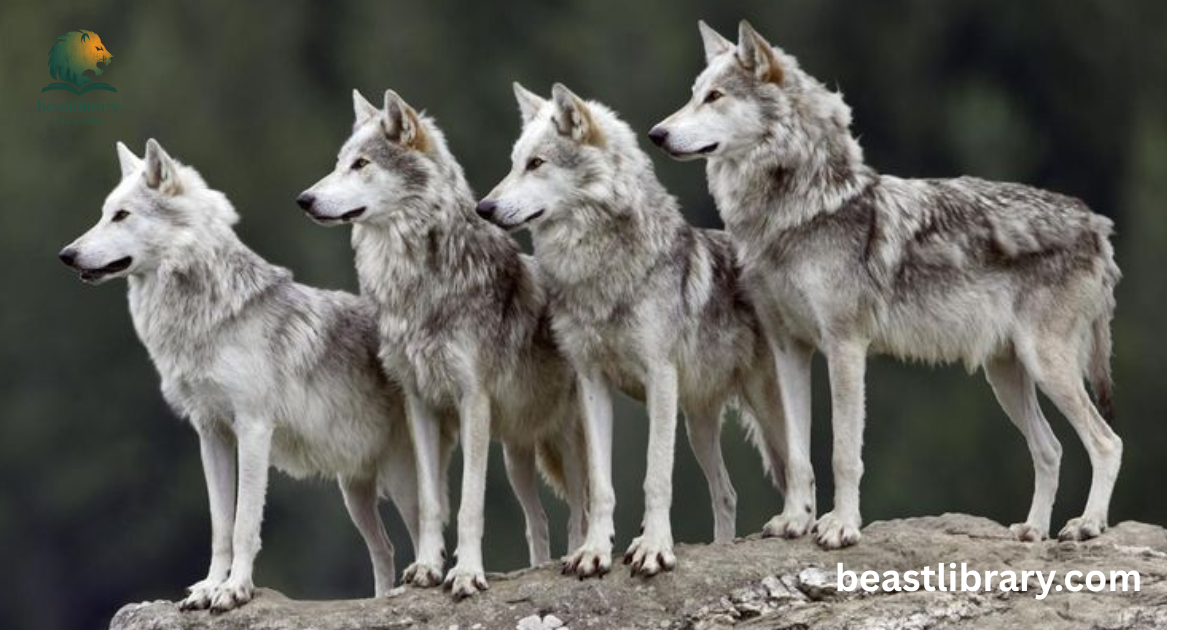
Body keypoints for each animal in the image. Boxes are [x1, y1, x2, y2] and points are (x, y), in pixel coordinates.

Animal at [58, 140, 425, 612]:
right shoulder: (211, 434)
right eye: (104, 213)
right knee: (386, 549)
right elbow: (220, 526)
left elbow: (244, 523)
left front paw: (234, 590)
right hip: (355, 492)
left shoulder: (253, 429)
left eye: (121, 215)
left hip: (400, 481)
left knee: (425, 535)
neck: (205, 319)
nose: (67, 255)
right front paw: (208, 587)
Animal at [297, 90, 589, 599]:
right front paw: (427, 568)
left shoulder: (473, 402)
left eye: (361, 164)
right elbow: (432, 503)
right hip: (517, 454)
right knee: (538, 519)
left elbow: (470, 504)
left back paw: (577, 558)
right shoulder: (420, 403)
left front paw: (467, 573)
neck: (417, 285)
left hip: (563, 439)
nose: (304, 199)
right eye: (338, 163)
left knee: (581, 507)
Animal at [477, 83, 816, 578]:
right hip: (697, 423)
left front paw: (653, 548)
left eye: (536, 163)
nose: (483, 207)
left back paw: (800, 524)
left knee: (800, 469)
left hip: (762, 409)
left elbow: (655, 478)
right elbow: (600, 486)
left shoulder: (659, 378)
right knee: (727, 492)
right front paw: (594, 552)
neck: (600, 274)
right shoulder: (592, 383)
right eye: (513, 162)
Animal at [650, 20, 1123, 546]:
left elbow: (843, 453)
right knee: (1051, 448)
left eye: (715, 96)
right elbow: (797, 454)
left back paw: (1087, 525)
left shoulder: (845, 346)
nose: (656, 134)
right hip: (1006, 375)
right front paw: (795, 520)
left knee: (1107, 441)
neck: (797, 212)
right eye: (693, 94)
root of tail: (1096, 224)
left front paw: (841, 526)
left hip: (1046, 366)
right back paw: (1033, 531)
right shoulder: (789, 348)